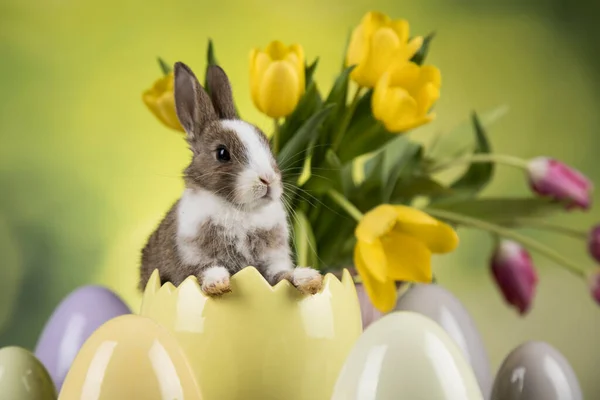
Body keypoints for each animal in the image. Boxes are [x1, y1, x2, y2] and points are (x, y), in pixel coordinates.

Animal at [138, 61, 324, 296]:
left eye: (267, 144)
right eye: (222, 153)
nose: (267, 179)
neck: (241, 210)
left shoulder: (272, 263)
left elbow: (283, 275)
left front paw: (309, 278)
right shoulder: (190, 261)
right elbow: (203, 272)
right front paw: (217, 284)